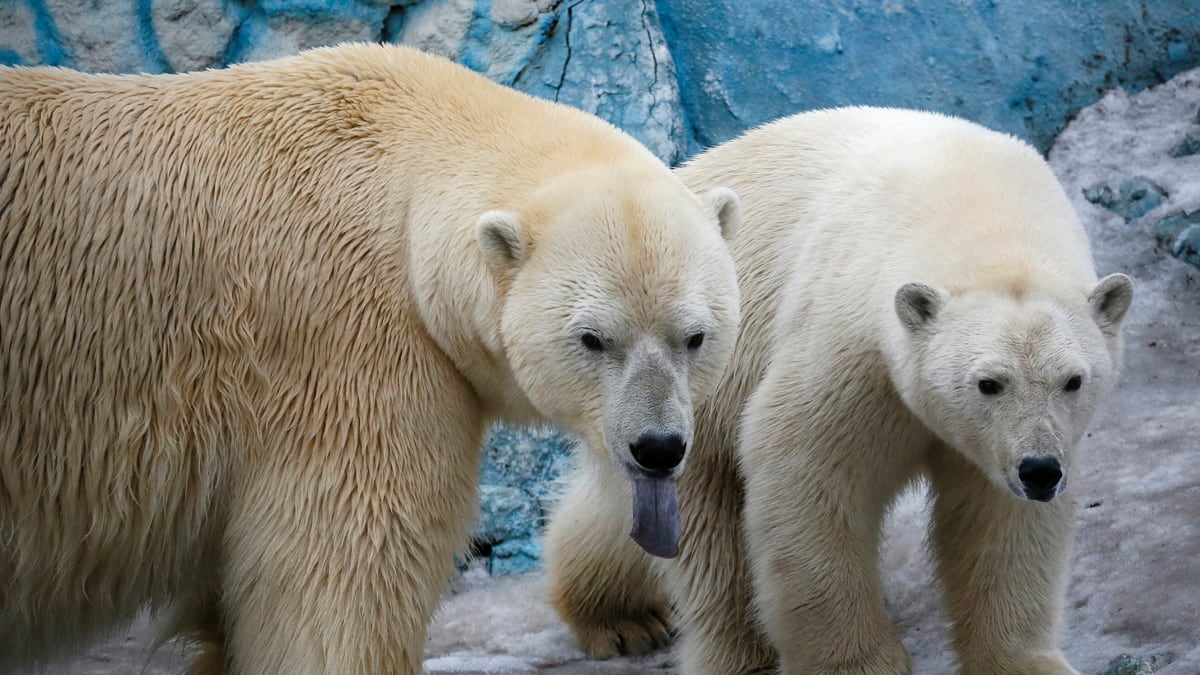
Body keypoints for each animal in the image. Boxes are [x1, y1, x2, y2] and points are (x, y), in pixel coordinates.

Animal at [545, 107, 1133, 674]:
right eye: (988, 383)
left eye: (1073, 380)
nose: (1040, 470)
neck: (977, 208)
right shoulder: (851, 336)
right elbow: (806, 469)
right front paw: (859, 662)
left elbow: (999, 520)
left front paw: (1028, 662)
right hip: (685, 384)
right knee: (703, 529)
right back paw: (667, 633)